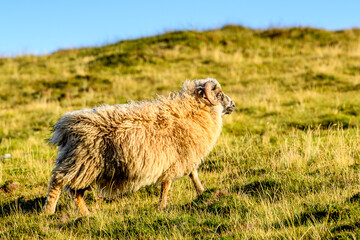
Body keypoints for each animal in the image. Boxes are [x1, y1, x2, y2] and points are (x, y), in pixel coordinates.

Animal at [43, 78, 233, 215]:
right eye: (219, 94)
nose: (233, 105)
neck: (193, 111)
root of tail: (65, 127)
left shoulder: (183, 157)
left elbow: (192, 174)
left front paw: (202, 192)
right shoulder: (176, 158)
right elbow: (167, 184)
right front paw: (162, 206)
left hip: (84, 166)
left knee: (76, 192)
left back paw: (86, 214)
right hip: (81, 162)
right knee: (58, 182)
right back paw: (48, 212)